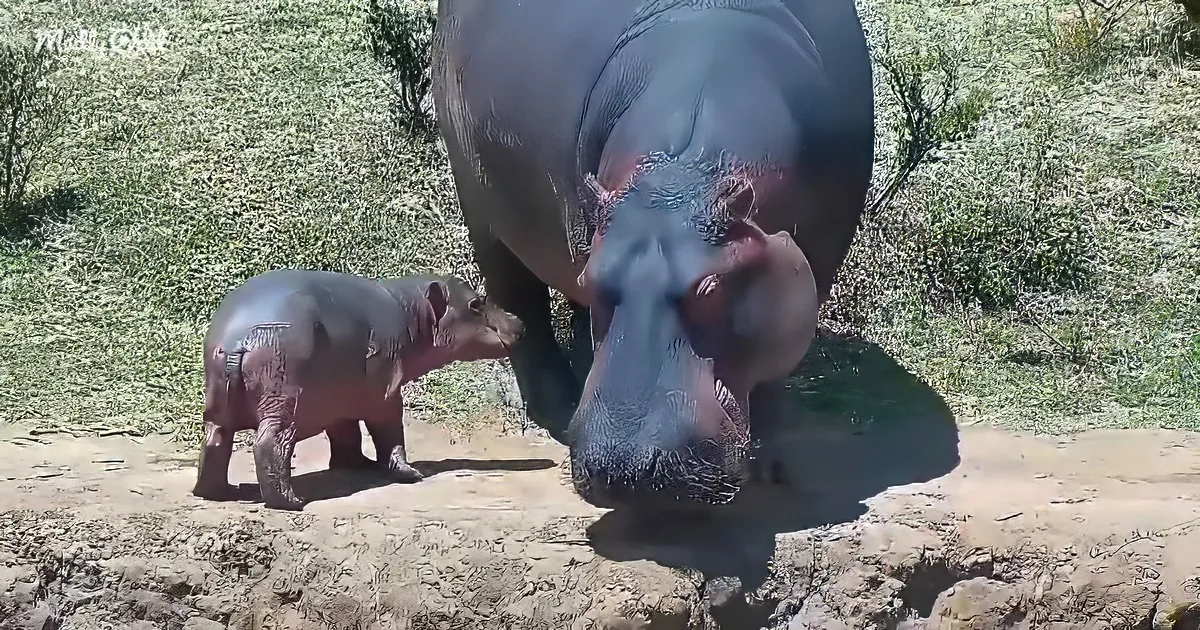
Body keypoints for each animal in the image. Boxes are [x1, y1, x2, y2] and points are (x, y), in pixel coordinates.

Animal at [191, 269, 524, 511]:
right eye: (476, 303)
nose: (519, 320)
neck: (414, 315)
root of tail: (237, 339)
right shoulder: (386, 392)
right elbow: (390, 433)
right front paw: (411, 474)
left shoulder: (342, 397)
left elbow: (346, 432)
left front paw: (356, 465)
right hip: (285, 404)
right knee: (271, 445)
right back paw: (293, 502)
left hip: (218, 408)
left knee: (215, 442)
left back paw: (220, 492)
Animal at [431, 0, 875, 507]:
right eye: (590, 280)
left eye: (712, 288)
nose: (623, 469)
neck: (685, 172)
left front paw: (769, 466)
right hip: (478, 200)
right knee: (520, 300)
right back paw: (553, 404)